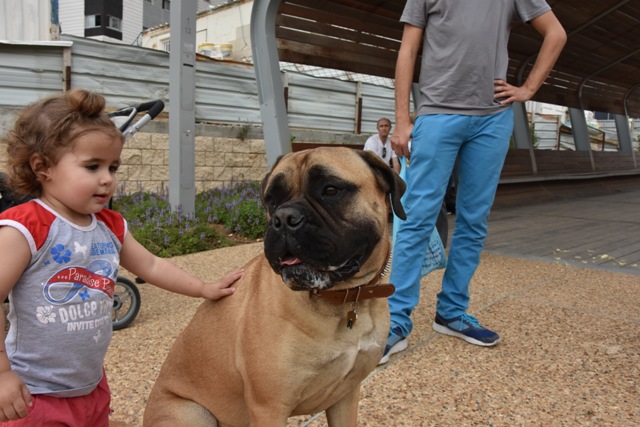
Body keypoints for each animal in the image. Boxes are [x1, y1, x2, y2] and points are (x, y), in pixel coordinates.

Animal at [144, 148, 404, 427]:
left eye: (331, 190)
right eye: (271, 200)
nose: (284, 218)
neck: (344, 298)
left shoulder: (346, 395)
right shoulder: (269, 408)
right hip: (192, 413)